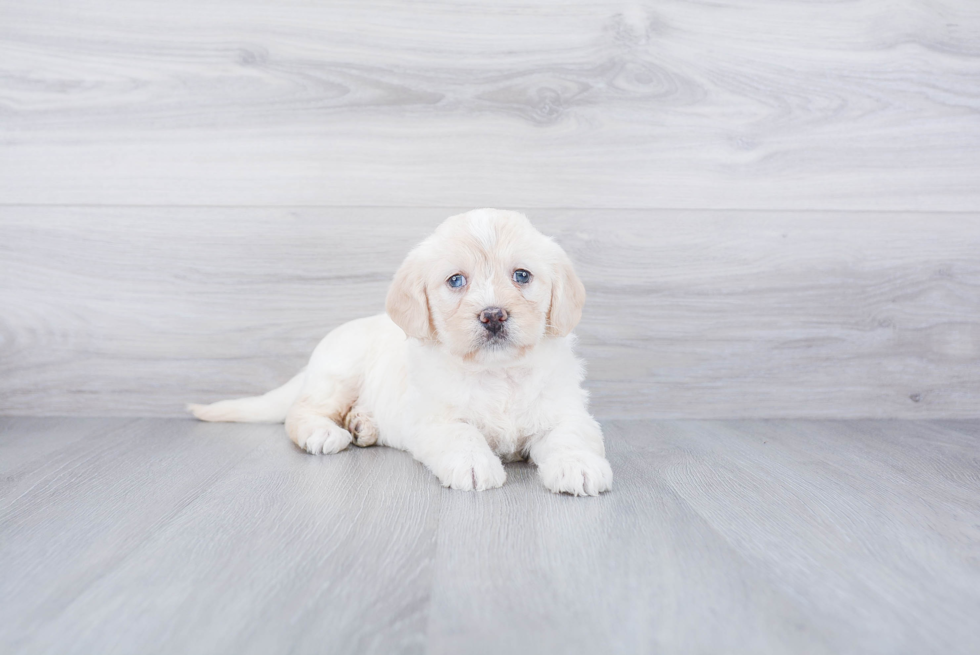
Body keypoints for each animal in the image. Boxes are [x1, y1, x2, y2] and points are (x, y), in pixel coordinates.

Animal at [188, 210, 608, 498]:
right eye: (456, 280)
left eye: (522, 276)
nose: (493, 315)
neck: (496, 373)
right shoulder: (433, 417)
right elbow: (462, 433)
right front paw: (474, 465)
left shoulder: (566, 410)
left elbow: (571, 435)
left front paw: (579, 466)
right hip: (339, 373)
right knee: (300, 410)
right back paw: (325, 431)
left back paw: (363, 425)